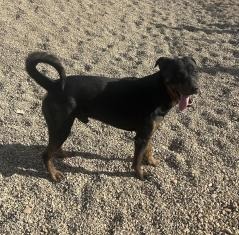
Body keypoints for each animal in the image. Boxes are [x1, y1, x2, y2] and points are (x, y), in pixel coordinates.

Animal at [25, 51, 199, 182]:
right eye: (178, 74)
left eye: (196, 72)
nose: (196, 88)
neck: (159, 90)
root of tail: (53, 84)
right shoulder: (141, 137)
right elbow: (137, 160)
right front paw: (140, 174)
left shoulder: (148, 133)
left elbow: (149, 149)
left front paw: (151, 161)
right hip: (62, 126)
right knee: (46, 154)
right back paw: (54, 175)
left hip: (63, 126)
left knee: (54, 147)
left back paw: (62, 155)